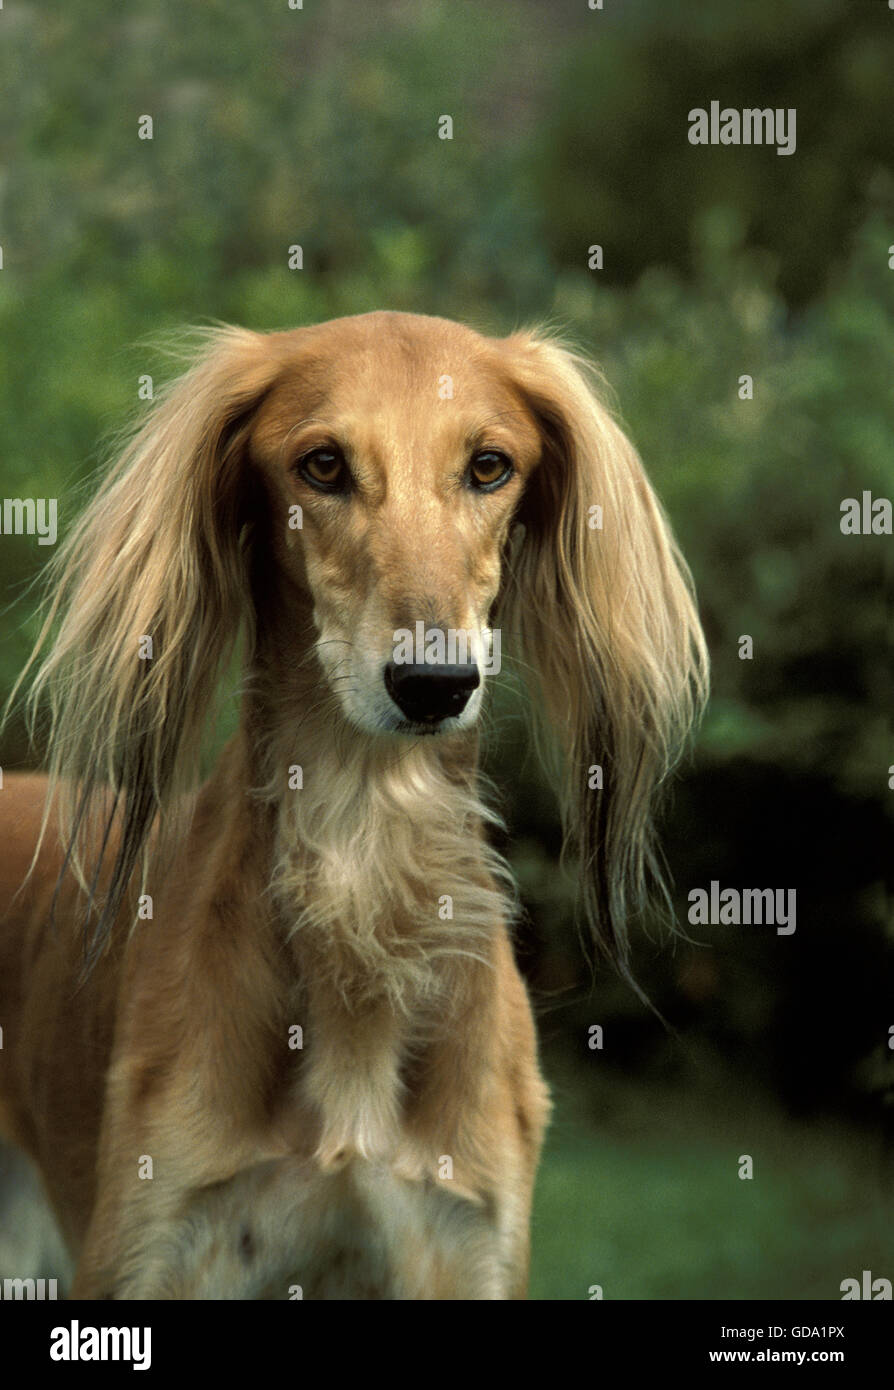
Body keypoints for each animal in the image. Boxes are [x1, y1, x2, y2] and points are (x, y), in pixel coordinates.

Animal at [1, 309, 706, 1295]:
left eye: (490, 465)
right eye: (324, 464)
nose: (433, 684)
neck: (367, 863)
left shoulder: (465, 1242)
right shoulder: (160, 1244)